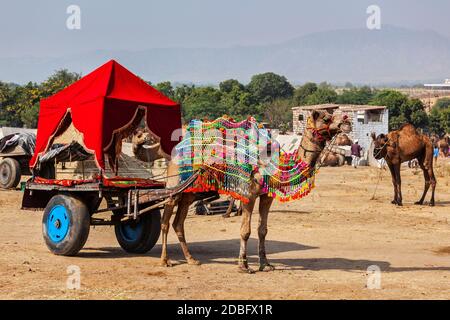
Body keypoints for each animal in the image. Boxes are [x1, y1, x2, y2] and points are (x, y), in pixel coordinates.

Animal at [134, 110, 352, 272]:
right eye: (326, 118)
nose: (347, 122)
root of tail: (174, 150)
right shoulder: (248, 194)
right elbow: (245, 231)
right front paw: (244, 265)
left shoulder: (266, 196)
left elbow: (262, 230)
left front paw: (266, 264)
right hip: (175, 183)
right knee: (165, 221)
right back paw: (165, 260)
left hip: (191, 191)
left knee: (178, 223)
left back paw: (191, 259)